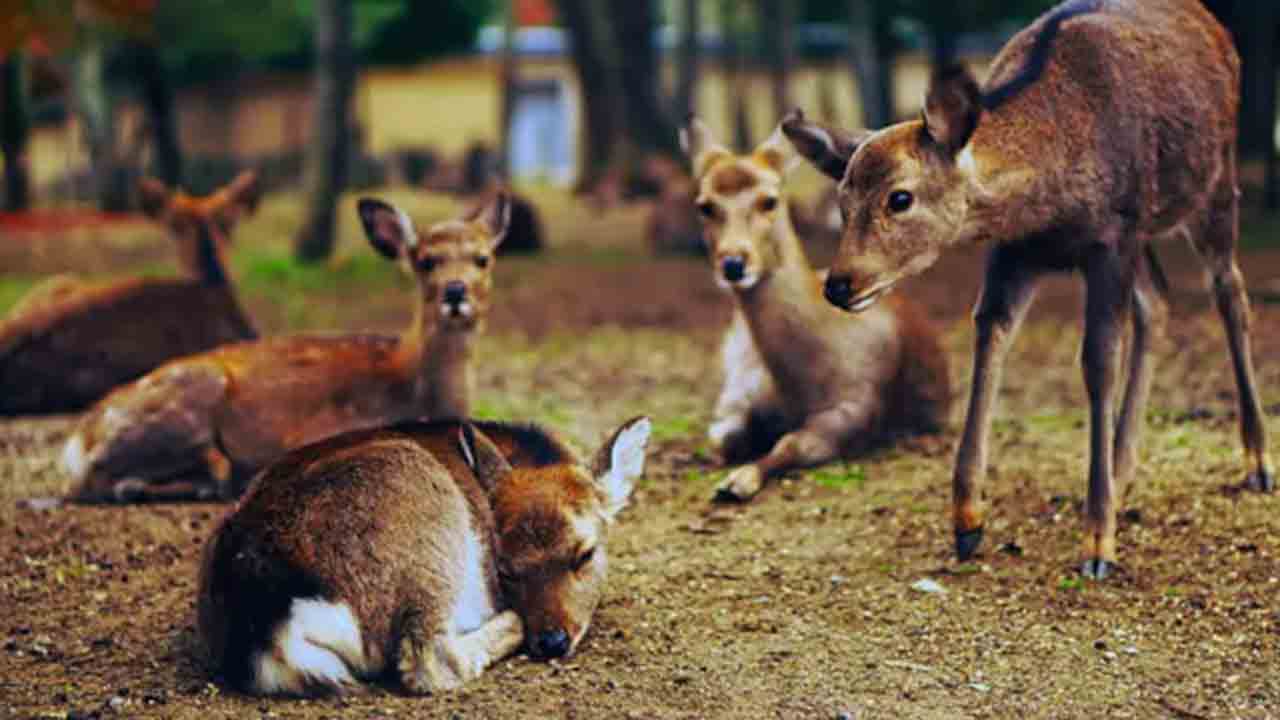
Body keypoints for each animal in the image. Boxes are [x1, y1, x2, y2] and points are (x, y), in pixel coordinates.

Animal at [196, 416, 651, 696]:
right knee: (428, 659)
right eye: (505, 570)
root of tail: (268, 627)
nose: (552, 641)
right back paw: (506, 625)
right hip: (425, 527)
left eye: (585, 554)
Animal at [680, 116, 952, 503]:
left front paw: (737, 481)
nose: (734, 263)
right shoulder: (739, 390)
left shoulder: (854, 407)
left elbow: (792, 444)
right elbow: (723, 436)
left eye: (770, 200)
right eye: (704, 204)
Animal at [782, 0, 1272, 579]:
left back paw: (1257, 463)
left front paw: (1097, 543)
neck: (1048, 198)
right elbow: (990, 336)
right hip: (1149, 233)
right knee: (1159, 299)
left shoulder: (1112, 236)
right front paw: (967, 521)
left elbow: (1097, 362)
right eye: (842, 201)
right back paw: (1123, 467)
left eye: (899, 198)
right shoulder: (1018, 251)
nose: (839, 284)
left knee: (1230, 291)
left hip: (1214, 185)